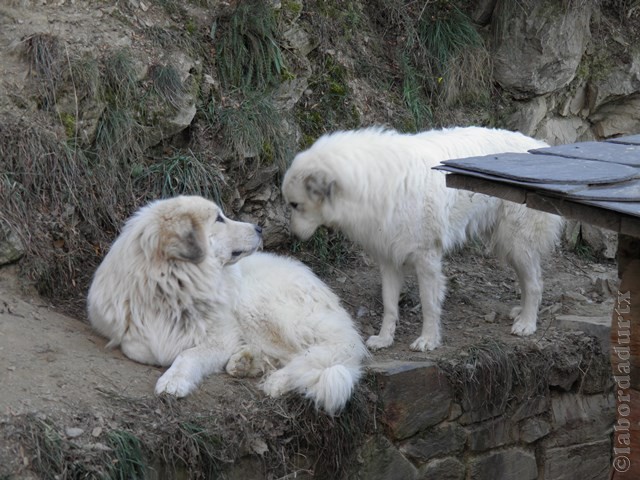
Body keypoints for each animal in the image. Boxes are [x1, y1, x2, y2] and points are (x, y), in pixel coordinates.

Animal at [87, 197, 368, 414]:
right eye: (219, 219)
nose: (259, 227)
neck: (173, 286)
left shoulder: (221, 338)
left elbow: (187, 354)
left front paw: (173, 380)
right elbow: (139, 348)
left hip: (257, 306)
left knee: (313, 355)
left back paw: (276, 381)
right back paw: (244, 363)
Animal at [282, 127, 564, 352]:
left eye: (295, 205)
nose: (292, 236)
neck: (371, 183)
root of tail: (539, 144)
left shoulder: (426, 258)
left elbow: (428, 304)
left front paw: (428, 340)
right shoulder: (388, 258)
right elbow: (389, 305)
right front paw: (384, 339)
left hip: (517, 241)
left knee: (535, 283)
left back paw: (527, 323)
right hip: (507, 244)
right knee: (529, 280)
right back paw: (522, 312)